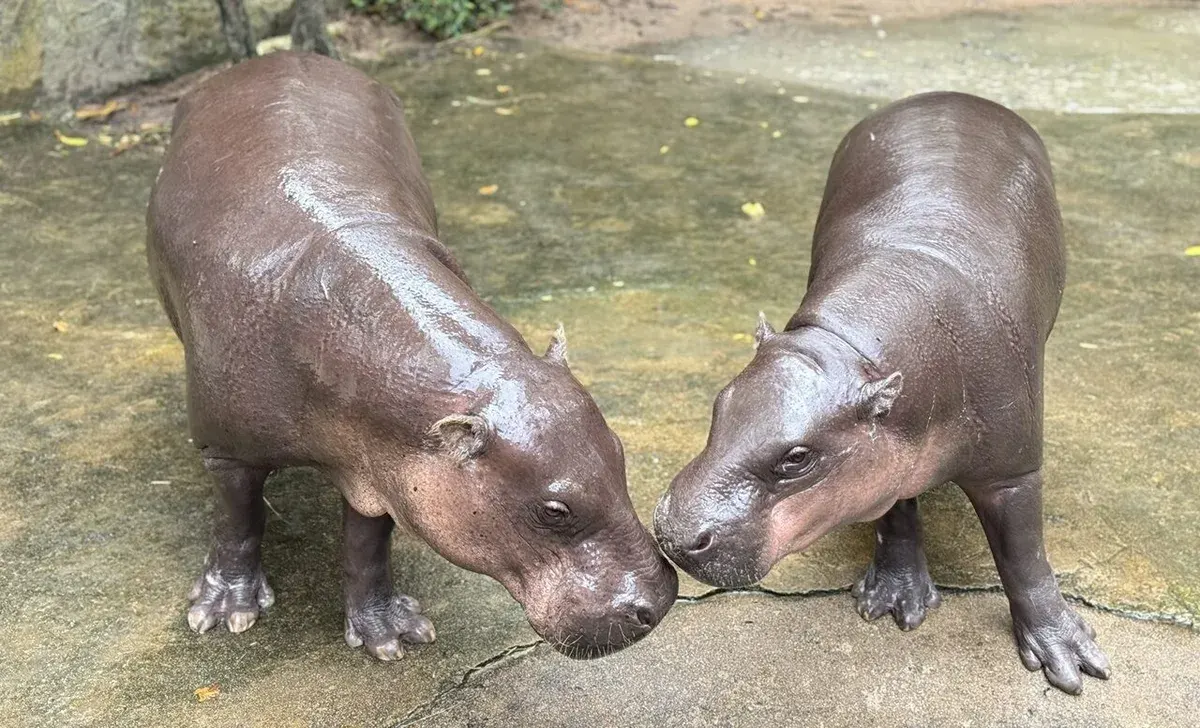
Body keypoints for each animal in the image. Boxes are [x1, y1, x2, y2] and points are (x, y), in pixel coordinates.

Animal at [146, 51, 677, 661]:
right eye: (554, 511)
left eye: (620, 452)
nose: (661, 601)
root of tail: (274, 57)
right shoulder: (227, 449)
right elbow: (238, 519)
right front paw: (224, 612)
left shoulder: (387, 469)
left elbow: (367, 545)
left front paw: (391, 634)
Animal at [654, 92, 1109, 693]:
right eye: (719, 404)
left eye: (797, 458)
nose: (671, 533)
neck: (848, 349)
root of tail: (952, 95)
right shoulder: (883, 456)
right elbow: (894, 510)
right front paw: (894, 599)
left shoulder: (1012, 468)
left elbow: (1024, 553)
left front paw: (1071, 659)